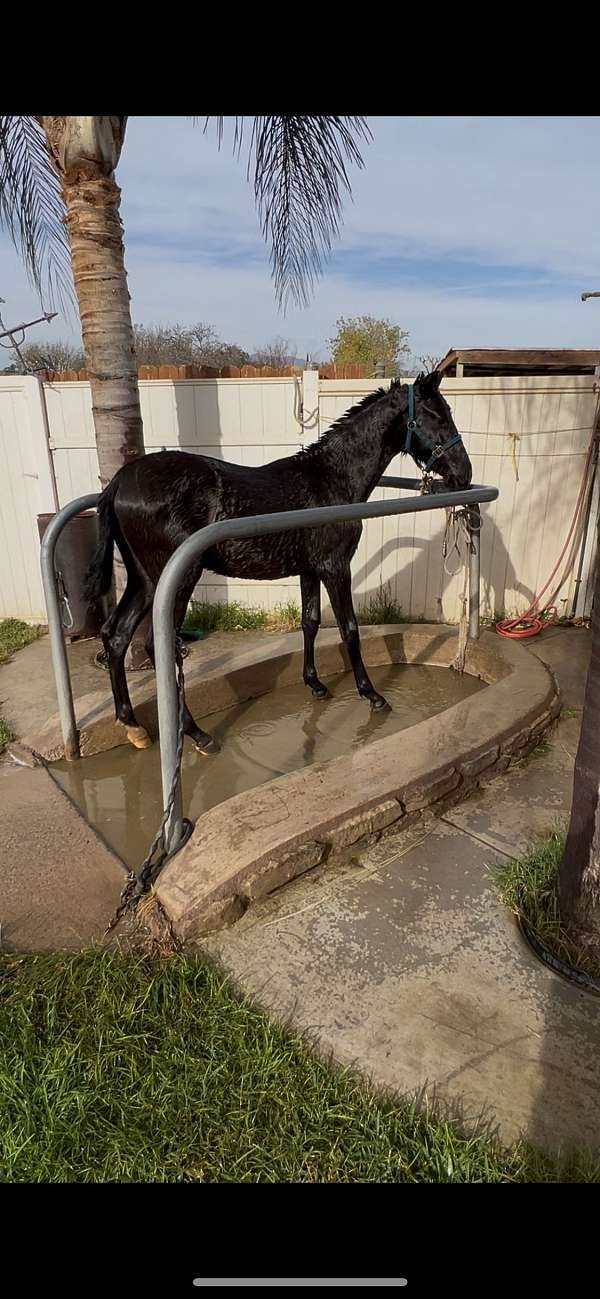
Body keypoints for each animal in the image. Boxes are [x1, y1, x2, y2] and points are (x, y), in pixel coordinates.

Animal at [84, 371, 470, 753]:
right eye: (438, 415)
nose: (464, 473)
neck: (331, 480)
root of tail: (119, 482)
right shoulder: (335, 568)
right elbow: (349, 629)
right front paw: (372, 694)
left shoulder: (309, 570)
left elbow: (310, 622)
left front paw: (315, 684)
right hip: (177, 579)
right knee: (156, 645)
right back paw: (196, 733)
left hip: (144, 579)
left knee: (116, 635)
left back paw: (132, 724)